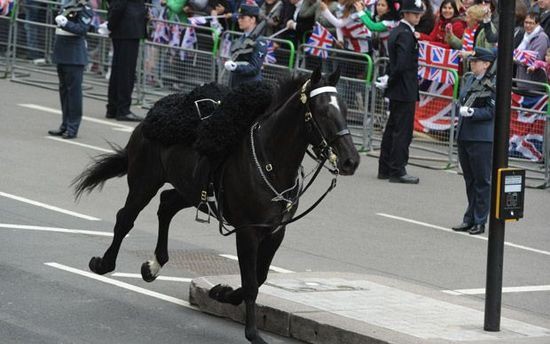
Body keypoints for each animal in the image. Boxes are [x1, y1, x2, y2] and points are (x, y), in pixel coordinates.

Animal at [74, 66, 362, 342]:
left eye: (345, 110)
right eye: (323, 112)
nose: (351, 160)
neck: (270, 162)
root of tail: (148, 118)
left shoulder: (275, 232)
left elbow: (260, 277)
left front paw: (221, 292)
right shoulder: (247, 232)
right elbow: (251, 282)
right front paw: (253, 333)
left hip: (190, 191)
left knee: (166, 205)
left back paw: (154, 265)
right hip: (144, 181)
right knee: (126, 218)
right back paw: (104, 264)